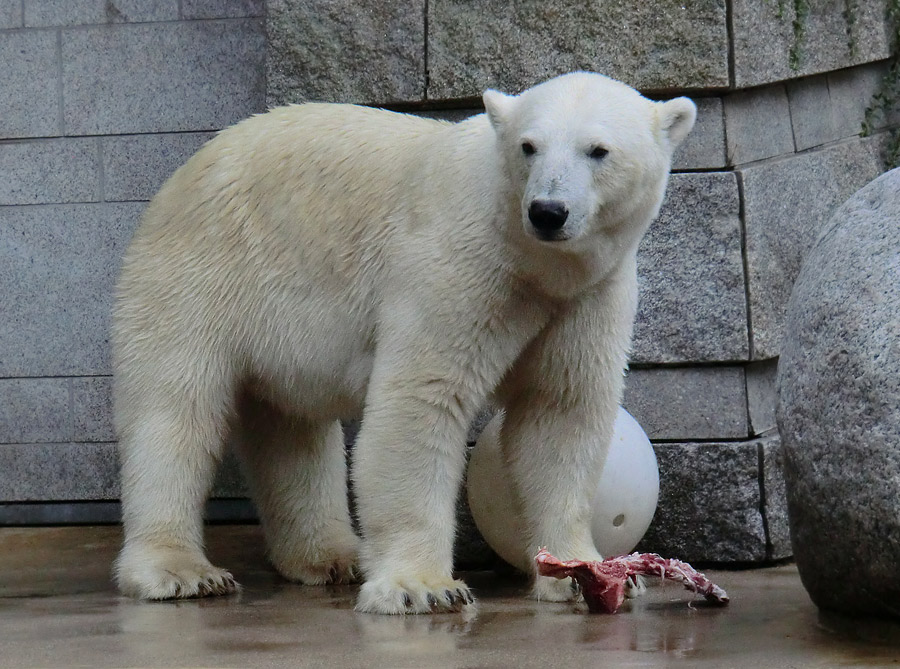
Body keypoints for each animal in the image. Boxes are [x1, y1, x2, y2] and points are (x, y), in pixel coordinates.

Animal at [112, 72, 696, 612]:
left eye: (598, 150)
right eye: (529, 146)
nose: (548, 211)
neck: (533, 262)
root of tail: (180, 176)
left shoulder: (588, 297)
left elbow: (559, 415)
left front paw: (584, 573)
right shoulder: (459, 268)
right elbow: (420, 404)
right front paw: (424, 587)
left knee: (292, 426)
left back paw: (330, 556)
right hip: (202, 273)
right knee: (176, 414)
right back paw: (181, 572)